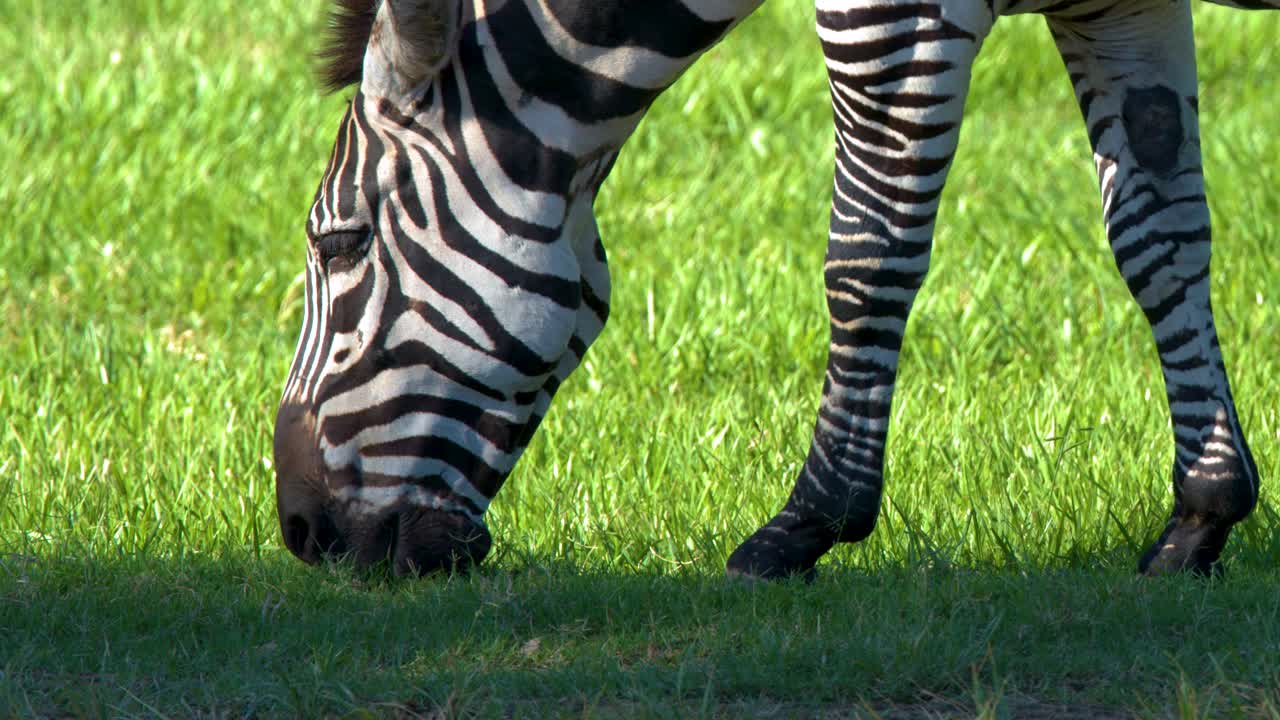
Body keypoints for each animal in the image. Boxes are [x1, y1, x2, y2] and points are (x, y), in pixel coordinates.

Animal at [273, 0, 1274, 580]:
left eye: (340, 243)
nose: (300, 533)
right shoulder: (1117, 2)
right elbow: (1156, 234)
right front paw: (1204, 510)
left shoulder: (894, 12)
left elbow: (869, 250)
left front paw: (809, 523)